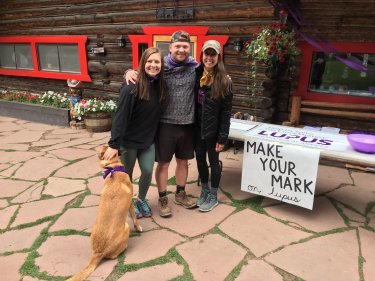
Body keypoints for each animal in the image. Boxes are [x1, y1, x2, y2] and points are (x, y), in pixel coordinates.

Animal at [67, 144, 142, 280]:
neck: (113, 167)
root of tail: (98, 253)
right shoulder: (130, 203)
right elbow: (134, 217)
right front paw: (138, 227)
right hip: (126, 227)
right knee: (114, 256)